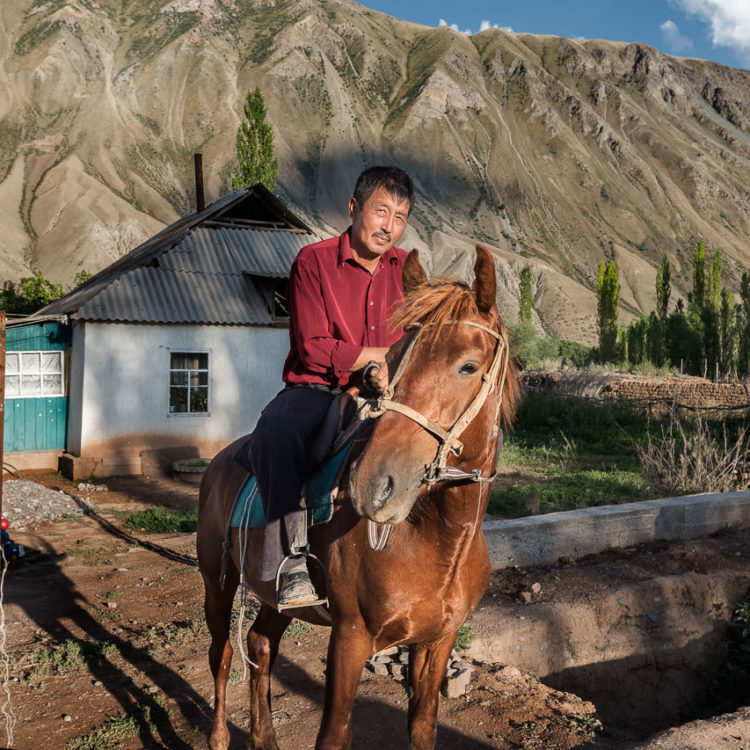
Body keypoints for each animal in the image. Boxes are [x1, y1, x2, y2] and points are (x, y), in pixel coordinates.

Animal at [197, 248, 520, 750]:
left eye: (468, 365)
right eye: (396, 357)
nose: (372, 485)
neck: (440, 541)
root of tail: (218, 463)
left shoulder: (436, 643)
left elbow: (423, 728)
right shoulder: (350, 638)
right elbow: (334, 734)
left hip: (276, 597)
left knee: (260, 644)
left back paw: (263, 737)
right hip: (218, 582)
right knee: (222, 654)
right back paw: (218, 737)